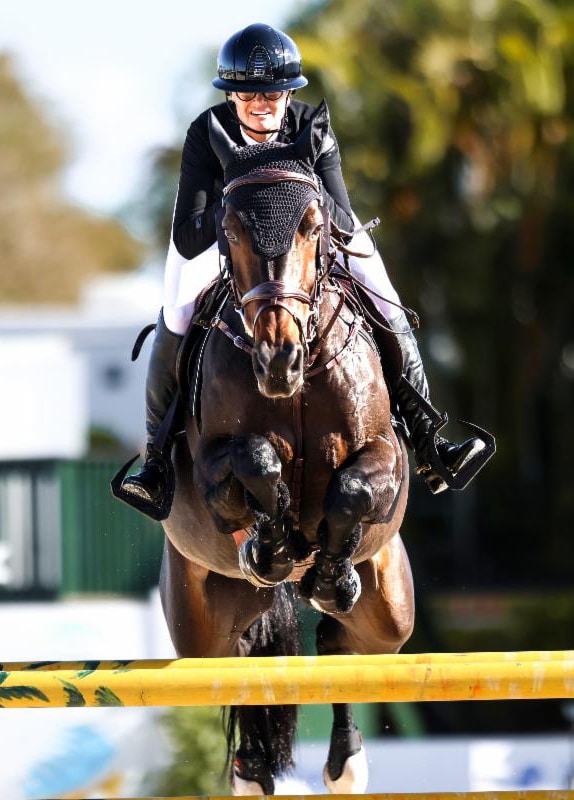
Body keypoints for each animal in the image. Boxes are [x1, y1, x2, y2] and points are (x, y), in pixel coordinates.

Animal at [159, 102, 414, 794]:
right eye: (229, 229)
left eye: (314, 225)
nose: (280, 359)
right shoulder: (207, 469)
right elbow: (254, 461)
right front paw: (271, 543)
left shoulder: (386, 456)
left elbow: (354, 487)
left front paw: (324, 565)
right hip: (198, 627)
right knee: (238, 661)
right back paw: (251, 770)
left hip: (391, 608)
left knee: (342, 644)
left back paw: (345, 760)